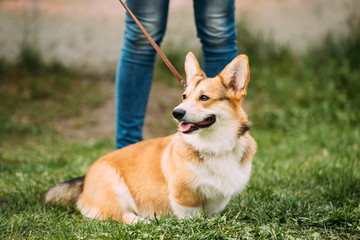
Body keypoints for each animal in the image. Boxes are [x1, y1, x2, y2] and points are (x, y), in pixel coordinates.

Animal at [45, 51, 258, 224]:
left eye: (204, 97)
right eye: (184, 96)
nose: (176, 113)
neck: (215, 145)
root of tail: (85, 179)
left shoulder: (219, 197)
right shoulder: (183, 196)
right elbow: (191, 215)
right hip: (115, 190)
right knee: (119, 216)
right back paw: (145, 222)